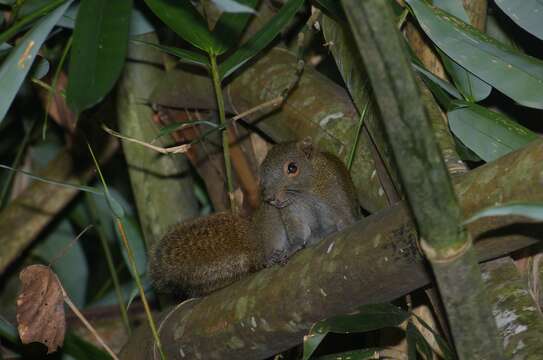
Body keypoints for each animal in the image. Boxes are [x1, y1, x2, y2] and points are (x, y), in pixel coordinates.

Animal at [149, 139, 362, 298]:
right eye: (262, 177)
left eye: (292, 167)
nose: (270, 197)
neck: (304, 193)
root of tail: (256, 243)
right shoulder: (290, 213)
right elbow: (298, 234)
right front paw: (293, 248)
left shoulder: (334, 192)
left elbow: (345, 217)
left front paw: (346, 226)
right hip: (269, 222)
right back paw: (271, 257)